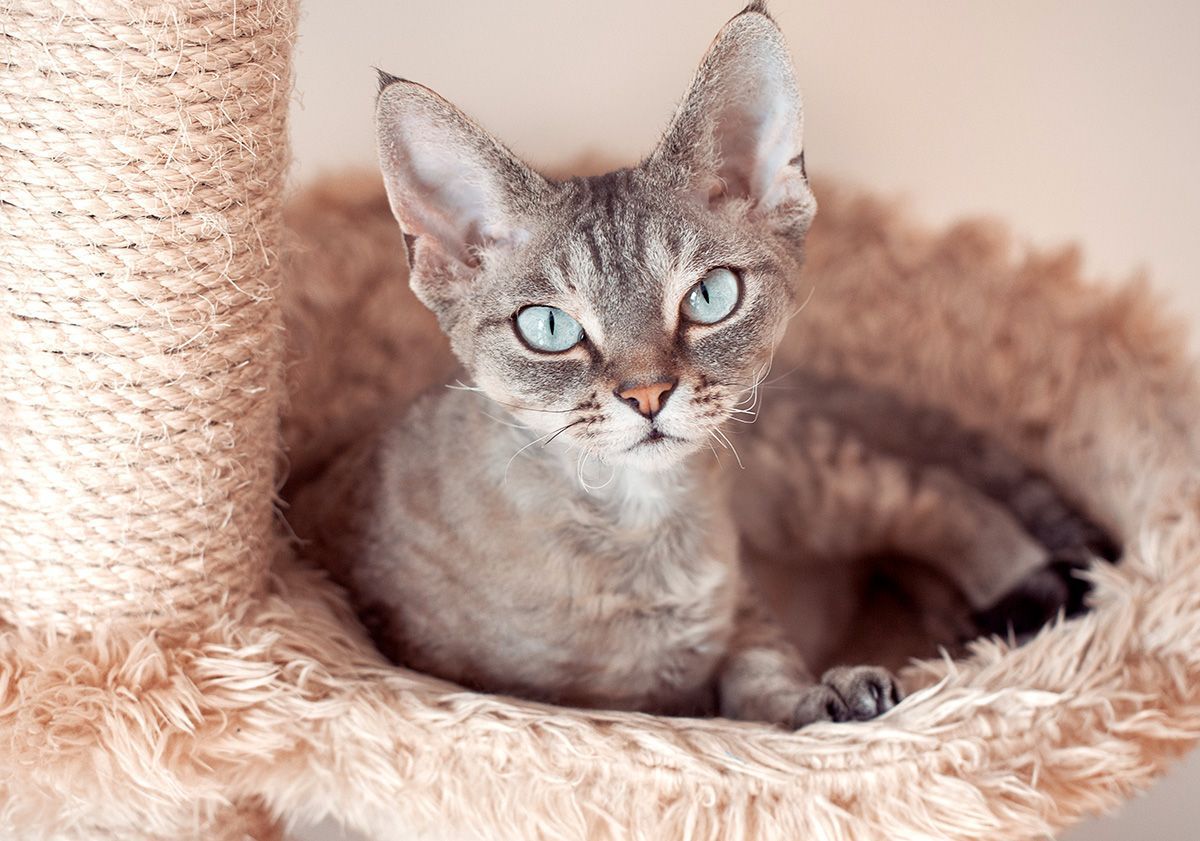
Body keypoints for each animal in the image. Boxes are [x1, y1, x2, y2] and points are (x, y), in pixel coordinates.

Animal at [285, 3, 1108, 729]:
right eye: (549, 327)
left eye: (710, 296)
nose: (648, 394)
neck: (643, 525)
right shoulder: (542, 694)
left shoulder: (746, 609)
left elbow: (763, 670)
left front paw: (820, 696)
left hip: (818, 483)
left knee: (937, 495)